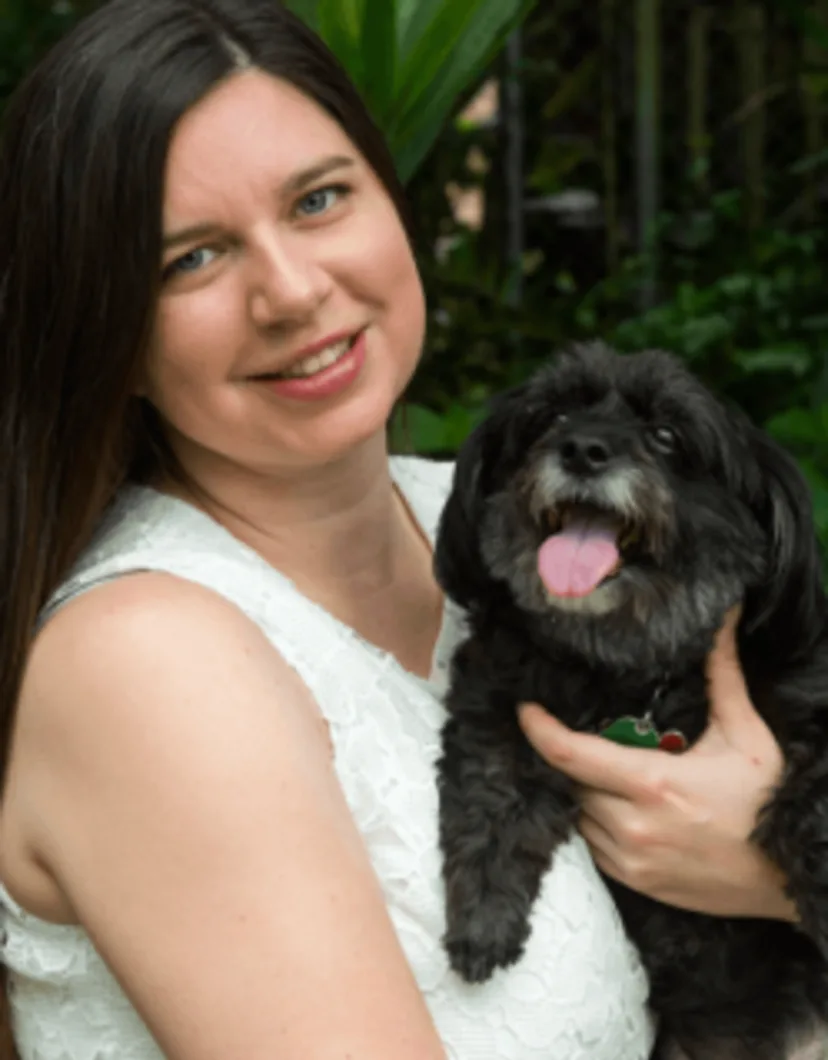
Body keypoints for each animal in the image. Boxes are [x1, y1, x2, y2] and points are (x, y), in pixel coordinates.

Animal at [432, 343, 826, 1055]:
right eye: (551, 416)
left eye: (667, 434)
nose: (584, 449)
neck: (630, 670)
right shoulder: (495, 699)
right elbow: (490, 793)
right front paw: (482, 915)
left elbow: (813, 806)